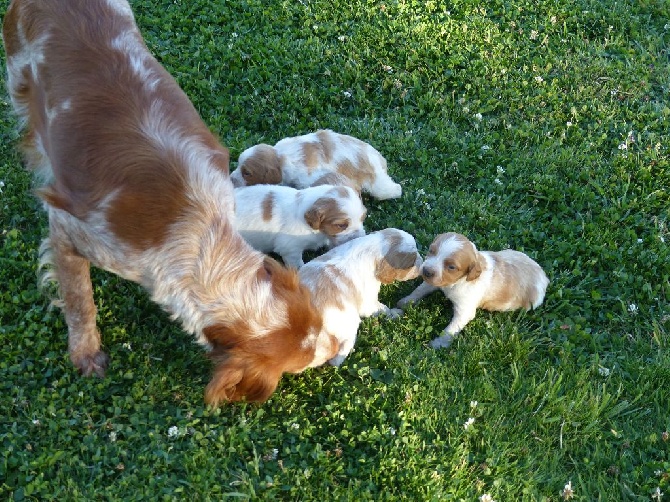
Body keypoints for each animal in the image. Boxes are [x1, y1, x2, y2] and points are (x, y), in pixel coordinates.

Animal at [1, 0, 342, 404]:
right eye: (303, 363)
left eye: (319, 323)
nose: (338, 346)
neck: (201, 234)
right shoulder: (70, 229)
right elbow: (80, 300)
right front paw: (85, 353)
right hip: (18, 73)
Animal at [230, 129, 404, 200]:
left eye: (247, 173)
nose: (231, 178)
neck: (281, 157)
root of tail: (379, 158)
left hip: (378, 182)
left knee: (391, 189)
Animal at [300, 229, 422, 366]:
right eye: (413, 260)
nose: (423, 262)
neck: (370, 248)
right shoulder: (368, 302)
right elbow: (383, 308)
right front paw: (395, 313)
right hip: (349, 321)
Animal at [400, 232, 552, 348]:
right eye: (431, 251)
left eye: (451, 267)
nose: (426, 271)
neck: (455, 283)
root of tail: (544, 276)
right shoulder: (434, 282)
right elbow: (419, 290)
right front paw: (405, 302)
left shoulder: (464, 309)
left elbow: (451, 329)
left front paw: (438, 343)